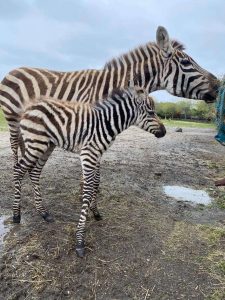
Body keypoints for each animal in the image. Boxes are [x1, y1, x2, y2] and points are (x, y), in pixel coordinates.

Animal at [0, 26, 218, 165]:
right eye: (186, 63)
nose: (218, 85)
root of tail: (13, 70)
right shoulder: (90, 127)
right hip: (12, 117)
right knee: (14, 147)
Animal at [13, 85, 165, 256]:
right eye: (151, 112)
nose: (164, 131)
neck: (107, 123)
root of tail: (29, 107)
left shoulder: (97, 155)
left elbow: (96, 183)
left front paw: (95, 211)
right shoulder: (88, 154)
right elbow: (87, 190)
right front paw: (80, 239)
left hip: (46, 145)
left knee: (34, 172)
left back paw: (43, 213)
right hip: (36, 143)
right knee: (18, 170)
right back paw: (16, 215)